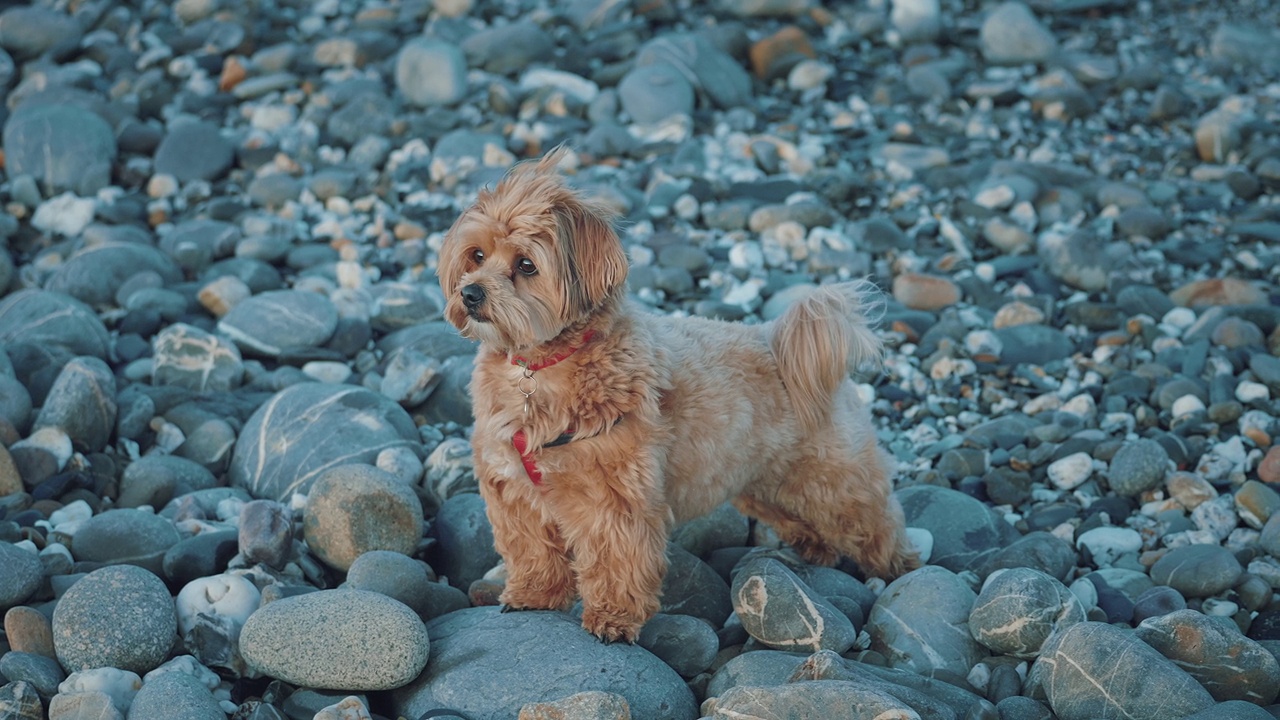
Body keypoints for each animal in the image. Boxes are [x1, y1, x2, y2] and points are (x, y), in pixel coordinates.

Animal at [440, 147, 921, 638]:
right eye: (477, 255)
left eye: (526, 265)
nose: (471, 293)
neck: (540, 369)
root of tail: (780, 345)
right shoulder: (515, 493)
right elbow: (533, 550)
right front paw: (534, 596)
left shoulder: (614, 498)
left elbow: (616, 559)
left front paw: (613, 617)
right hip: (763, 484)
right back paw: (812, 548)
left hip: (837, 483)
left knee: (875, 521)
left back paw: (898, 566)